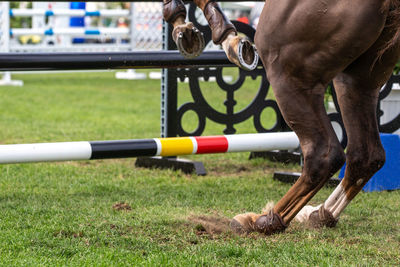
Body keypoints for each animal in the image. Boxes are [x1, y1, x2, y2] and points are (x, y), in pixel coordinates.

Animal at [165, 0, 400, 234]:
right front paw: (186, 29)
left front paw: (196, 31)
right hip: (357, 80)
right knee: (366, 155)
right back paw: (320, 214)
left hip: (288, 71)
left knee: (324, 155)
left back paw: (266, 220)